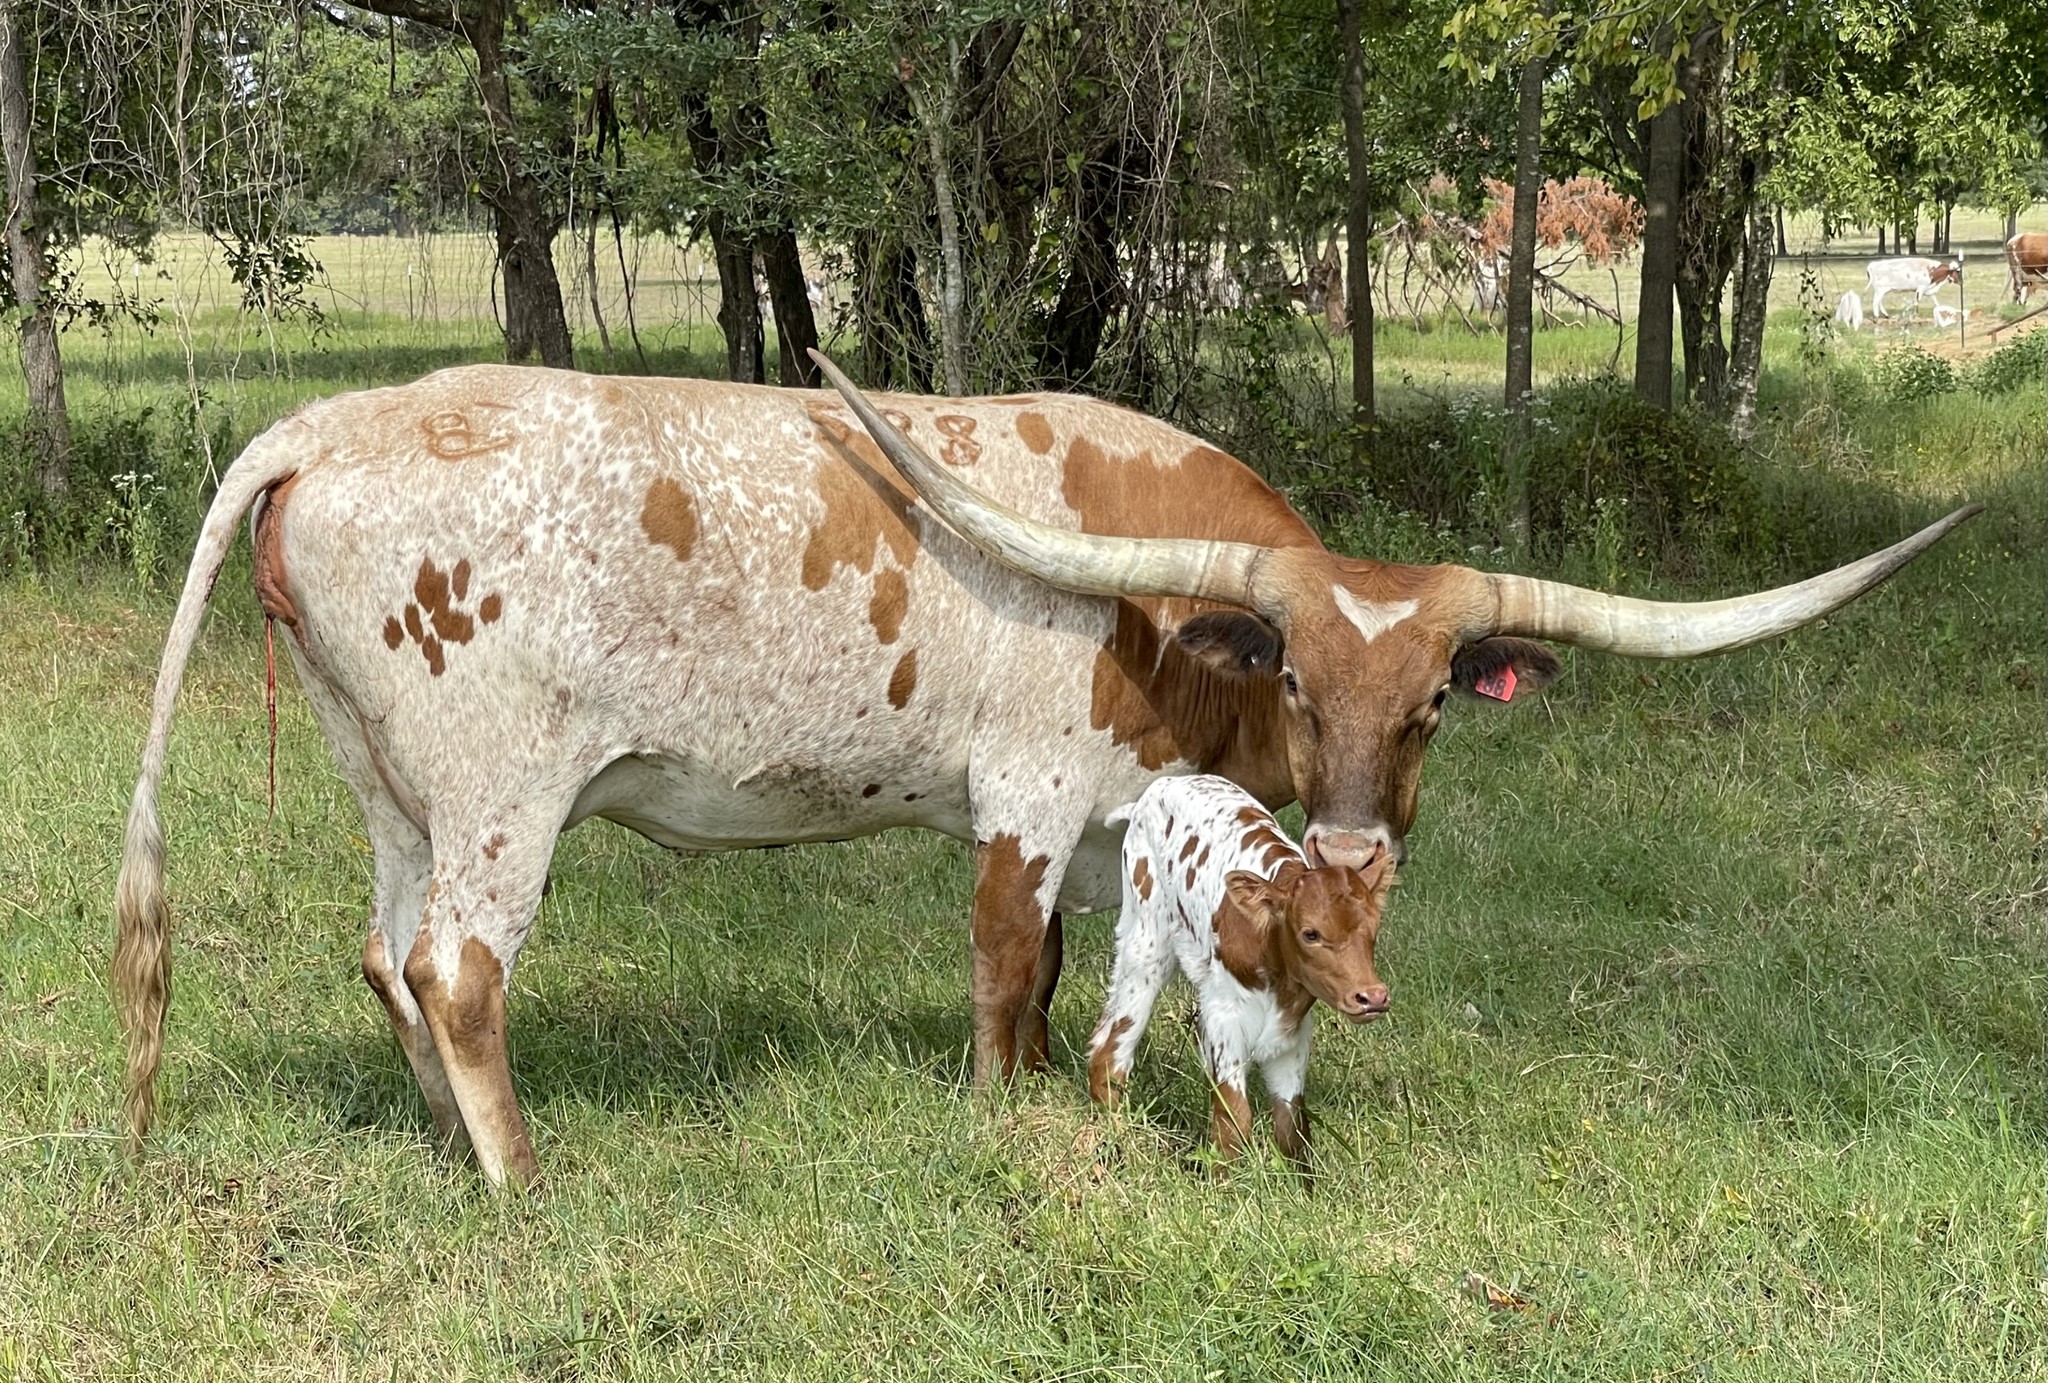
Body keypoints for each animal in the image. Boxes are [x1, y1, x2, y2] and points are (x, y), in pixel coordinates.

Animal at [1089, 775, 1395, 1176]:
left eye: (1373, 929)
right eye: (1310, 933)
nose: (1372, 997)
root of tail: (1164, 784)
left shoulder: (1293, 1038)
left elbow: (1292, 1126)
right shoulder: (1223, 1021)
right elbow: (1234, 1118)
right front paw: (1225, 1180)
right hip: (1146, 940)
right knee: (1113, 1042)